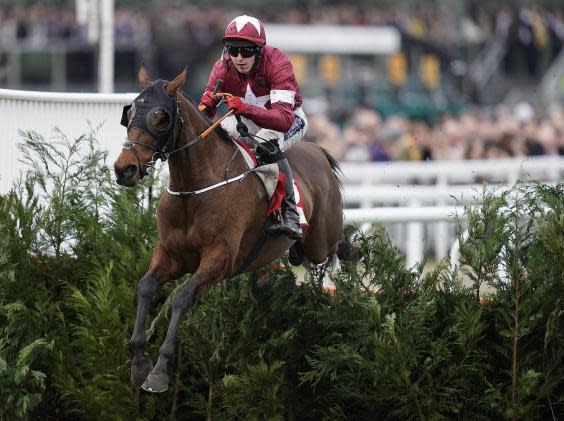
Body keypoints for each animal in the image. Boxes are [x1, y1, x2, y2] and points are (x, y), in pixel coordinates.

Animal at [113, 65, 352, 390]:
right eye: (130, 113)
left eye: (160, 117)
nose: (124, 169)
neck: (194, 188)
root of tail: (318, 151)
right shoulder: (172, 254)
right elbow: (146, 287)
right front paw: (139, 363)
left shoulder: (220, 258)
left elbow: (182, 297)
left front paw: (159, 370)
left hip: (321, 238)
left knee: (335, 243)